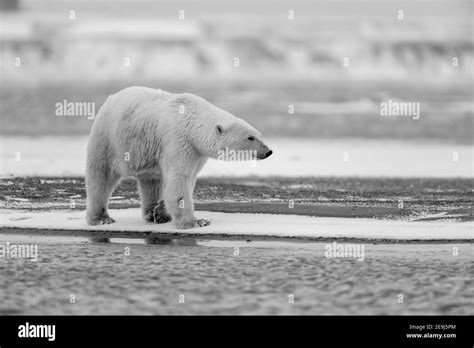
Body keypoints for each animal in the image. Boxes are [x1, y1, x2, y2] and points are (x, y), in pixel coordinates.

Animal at [84, 86, 270, 230]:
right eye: (250, 137)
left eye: (259, 134)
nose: (268, 151)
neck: (192, 123)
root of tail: (110, 98)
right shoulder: (179, 142)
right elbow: (179, 179)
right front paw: (197, 222)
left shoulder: (196, 152)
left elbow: (187, 178)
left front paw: (166, 213)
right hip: (108, 139)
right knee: (101, 177)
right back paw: (101, 218)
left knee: (152, 182)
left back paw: (156, 214)